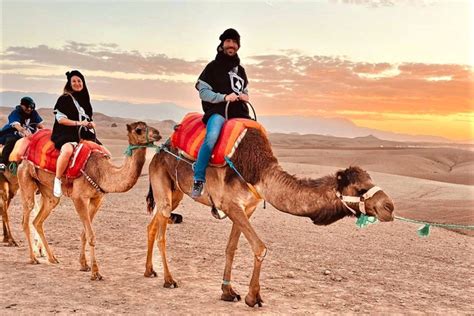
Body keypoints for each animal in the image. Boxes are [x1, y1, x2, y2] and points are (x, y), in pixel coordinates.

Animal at [18, 121, 161, 278]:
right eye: (139, 130)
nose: (158, 133)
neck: (101, 172)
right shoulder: (78, 198)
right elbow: (91, 235)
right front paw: (95, 272)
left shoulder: (97, 199)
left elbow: (84, 233)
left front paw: (84, 265)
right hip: (25, 179)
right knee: (26, 218)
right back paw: (33, 258)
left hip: (48, 193)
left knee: (38, 220)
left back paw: (52, 258)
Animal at [145, 127, 396, 308]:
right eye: (361, 189)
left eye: (370, 181)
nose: (389, 207)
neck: (260, 173)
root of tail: (159, 150)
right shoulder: (231, 205)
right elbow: (260, 247)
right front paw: (253, 297)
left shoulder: (247, 208)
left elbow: (231, 247)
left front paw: (228, 292)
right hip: (162, 185)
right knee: (162, 231)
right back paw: (169, 280)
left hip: (176, 192)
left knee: (152, 225)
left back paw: (149, 271)